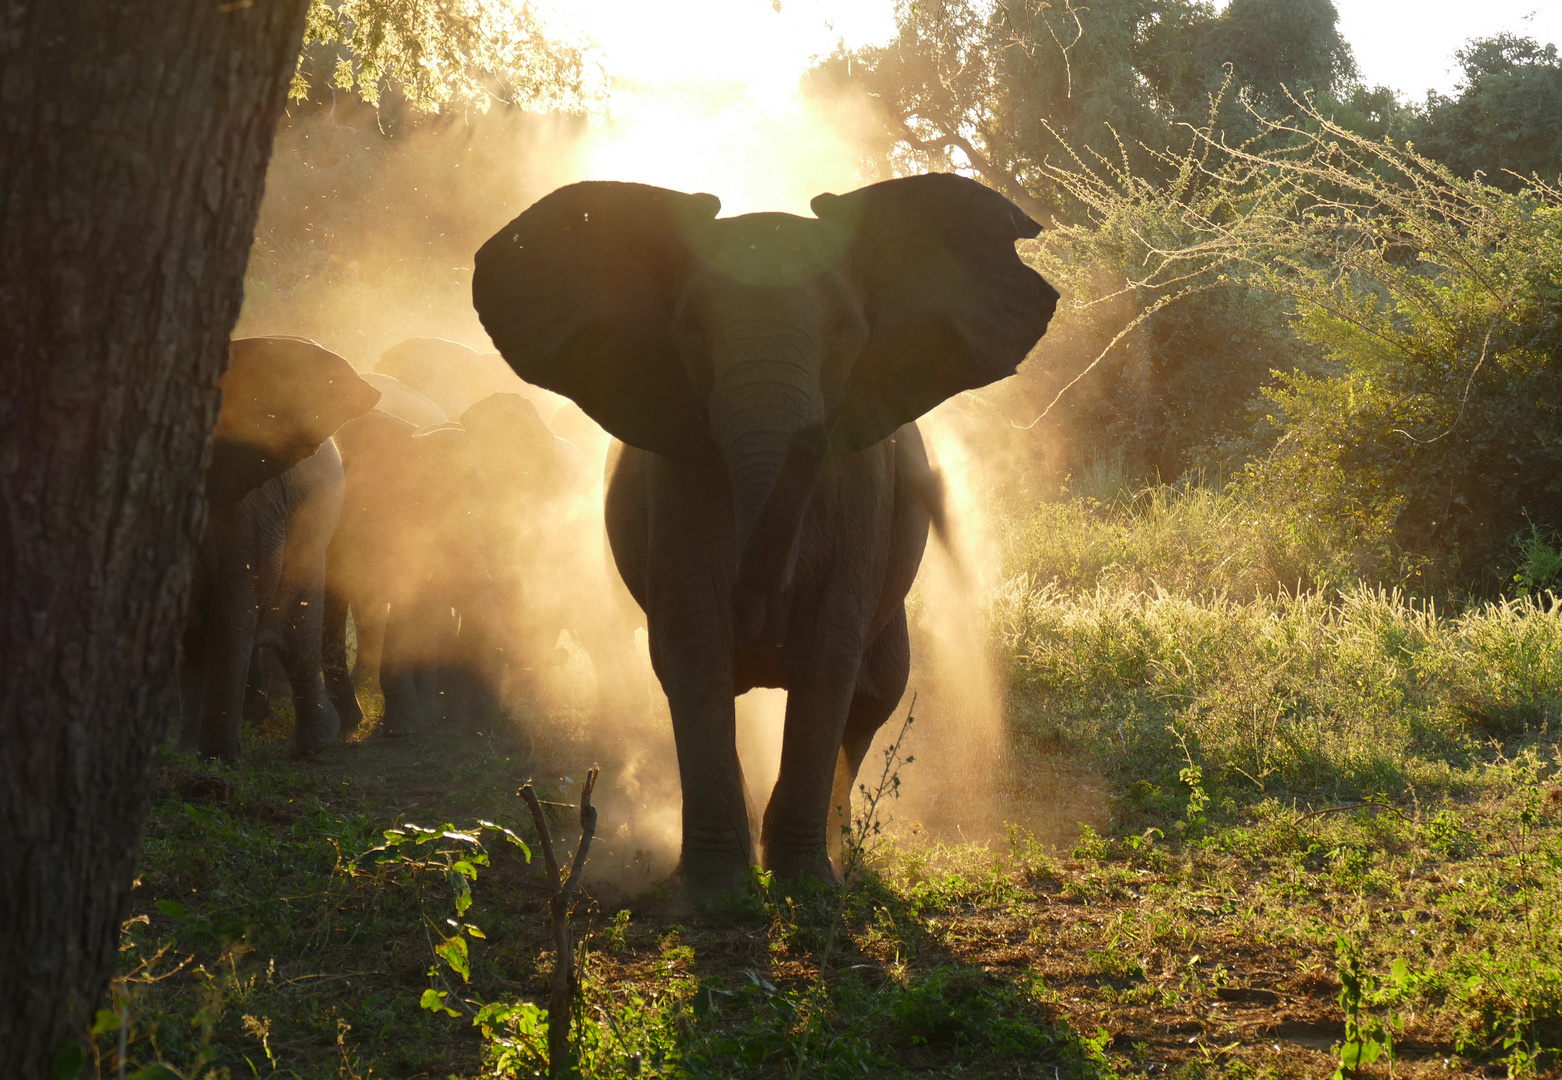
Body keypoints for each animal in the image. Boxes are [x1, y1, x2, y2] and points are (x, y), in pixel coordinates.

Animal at [178, 336, 381, 759]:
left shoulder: (247, 506)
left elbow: (234, 610)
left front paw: (220, 761)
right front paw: (191, 757)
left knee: (299, 630)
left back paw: (319, 741)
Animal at [474, 171, 1062, 894]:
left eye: (844, 330)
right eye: (691, 330)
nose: (815, 429)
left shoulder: (863, 483)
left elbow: (830, 653)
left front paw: (805, 889)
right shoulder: (678, 471)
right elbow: (694, 645)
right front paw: (716, 892)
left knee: (875, 692)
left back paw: (841, 853)